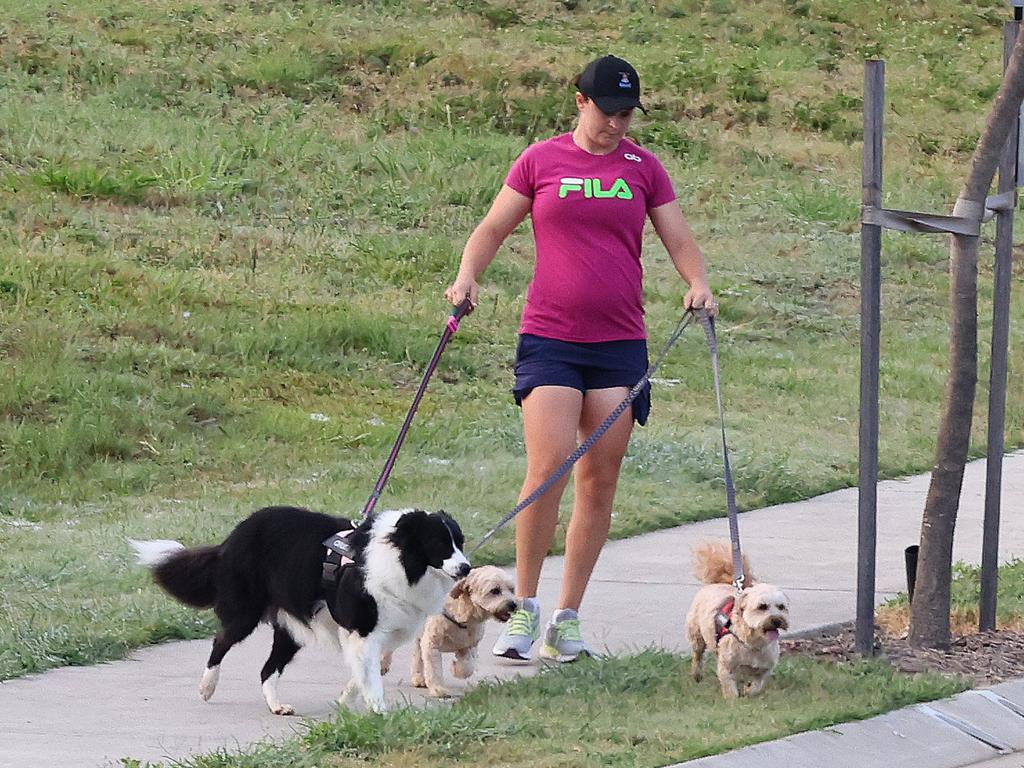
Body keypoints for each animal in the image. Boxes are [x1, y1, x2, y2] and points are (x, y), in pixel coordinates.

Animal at [133, 507, 471, 720]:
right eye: (439, 544)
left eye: (460, 542)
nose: (466, 567)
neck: (401, 558)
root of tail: (231, 539)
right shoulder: (364, 629)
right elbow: (370, 675)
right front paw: (379, 711)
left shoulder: (375, 634)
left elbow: (360, 672)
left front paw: (345, 702)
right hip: (244, 613)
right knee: (220, 642)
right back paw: (207, 687)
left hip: (292, 628)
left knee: (267, 669)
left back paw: (276, 706)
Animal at [409, 561, 516, 700]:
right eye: (495, 591)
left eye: (512, 589)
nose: (513, 604)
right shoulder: (432, 644)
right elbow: (434, 669)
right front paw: (438, 689)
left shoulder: (469, 645)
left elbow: (467, 666)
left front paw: (456, 669)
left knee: (417, 654)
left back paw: (418, 678)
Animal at [688, 544, 790, 700]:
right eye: (762, 606)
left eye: (781, 607)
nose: (777, 620)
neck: (754, 643)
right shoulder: (726, 666)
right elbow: (730, 688)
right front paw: (734, 701)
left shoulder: (765, 668)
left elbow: (757, 686)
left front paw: (748, 692)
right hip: (696, 634)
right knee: (697, 655)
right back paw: (697, 674)